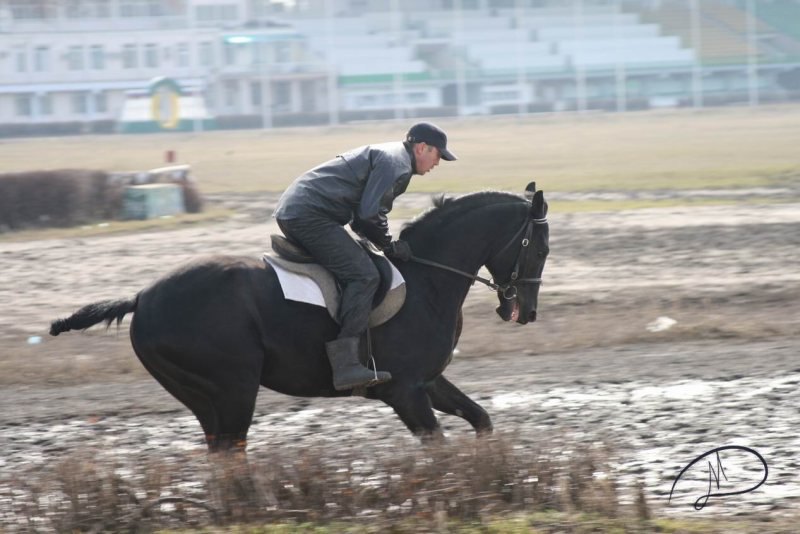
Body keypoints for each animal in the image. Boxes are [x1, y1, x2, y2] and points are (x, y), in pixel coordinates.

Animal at [50, 183, 552, 452]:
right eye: (542, 249)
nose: (526, 312)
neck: (427, 279)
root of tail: (142, 297)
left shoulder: (427, 382)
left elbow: (481, 420)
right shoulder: (405, 391)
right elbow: (438, 446)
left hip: (204, 397)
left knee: (222, 453)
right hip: (234, 388)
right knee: (231, 452)